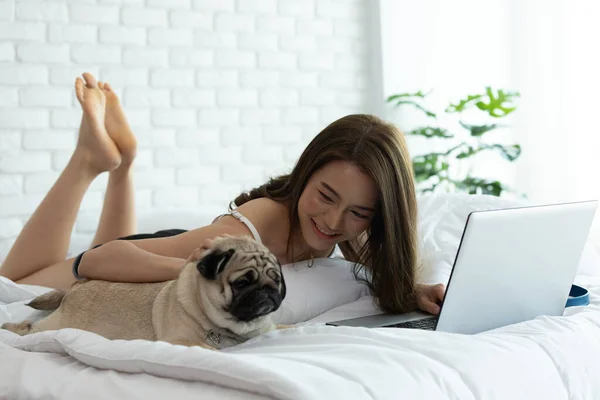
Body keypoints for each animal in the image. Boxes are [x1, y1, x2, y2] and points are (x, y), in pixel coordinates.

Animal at [1, 236, 288, 348]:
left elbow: (282, 327)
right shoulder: (180, 341)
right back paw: (10, 327)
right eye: (242, 283)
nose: (267, 291)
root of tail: (77, 286)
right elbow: (208, 348)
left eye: (276, 281)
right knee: (28, 328)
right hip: (57, 325)